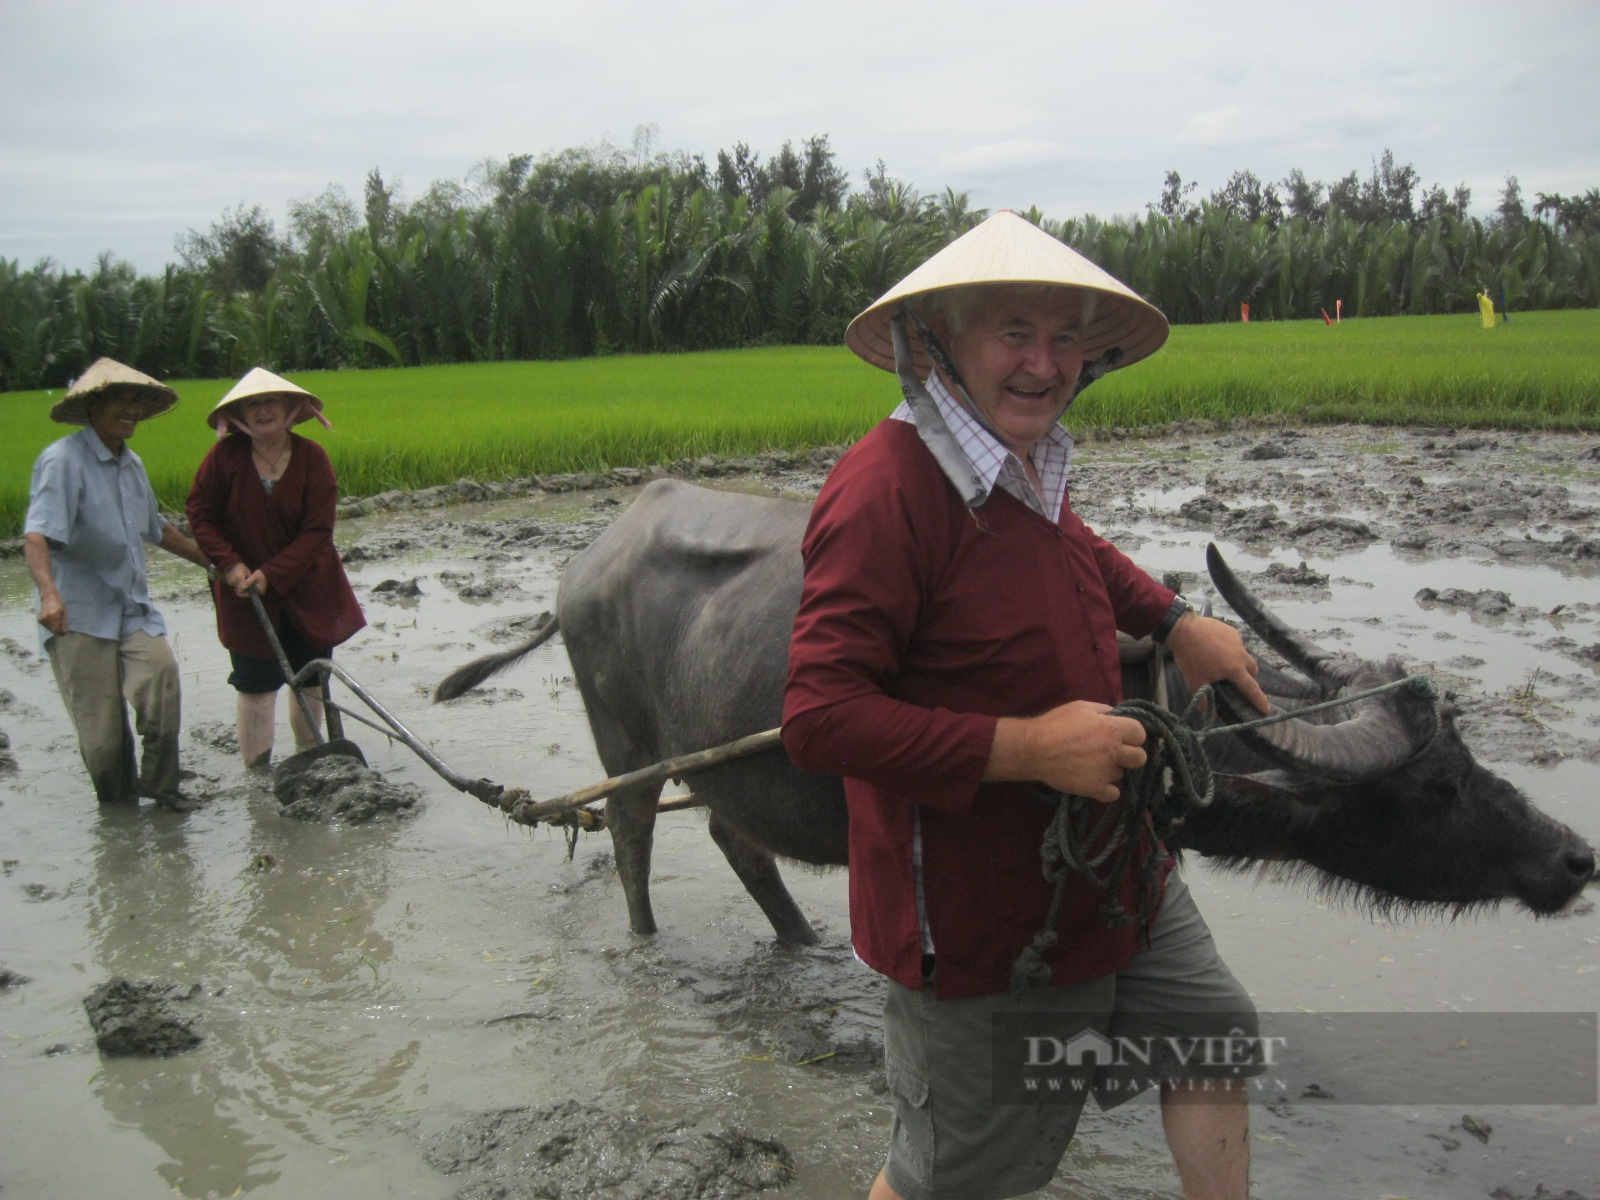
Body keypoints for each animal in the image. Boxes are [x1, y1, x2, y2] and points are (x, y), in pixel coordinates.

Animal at [435, 483, 1587, 947]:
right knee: (632, 836)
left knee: (734, 837)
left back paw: (802, 941)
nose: (1575, 856)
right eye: (1439, 785)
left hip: (725, 759)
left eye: (1471, 758)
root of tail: (591, 554)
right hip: (625, 741)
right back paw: (643, 946)